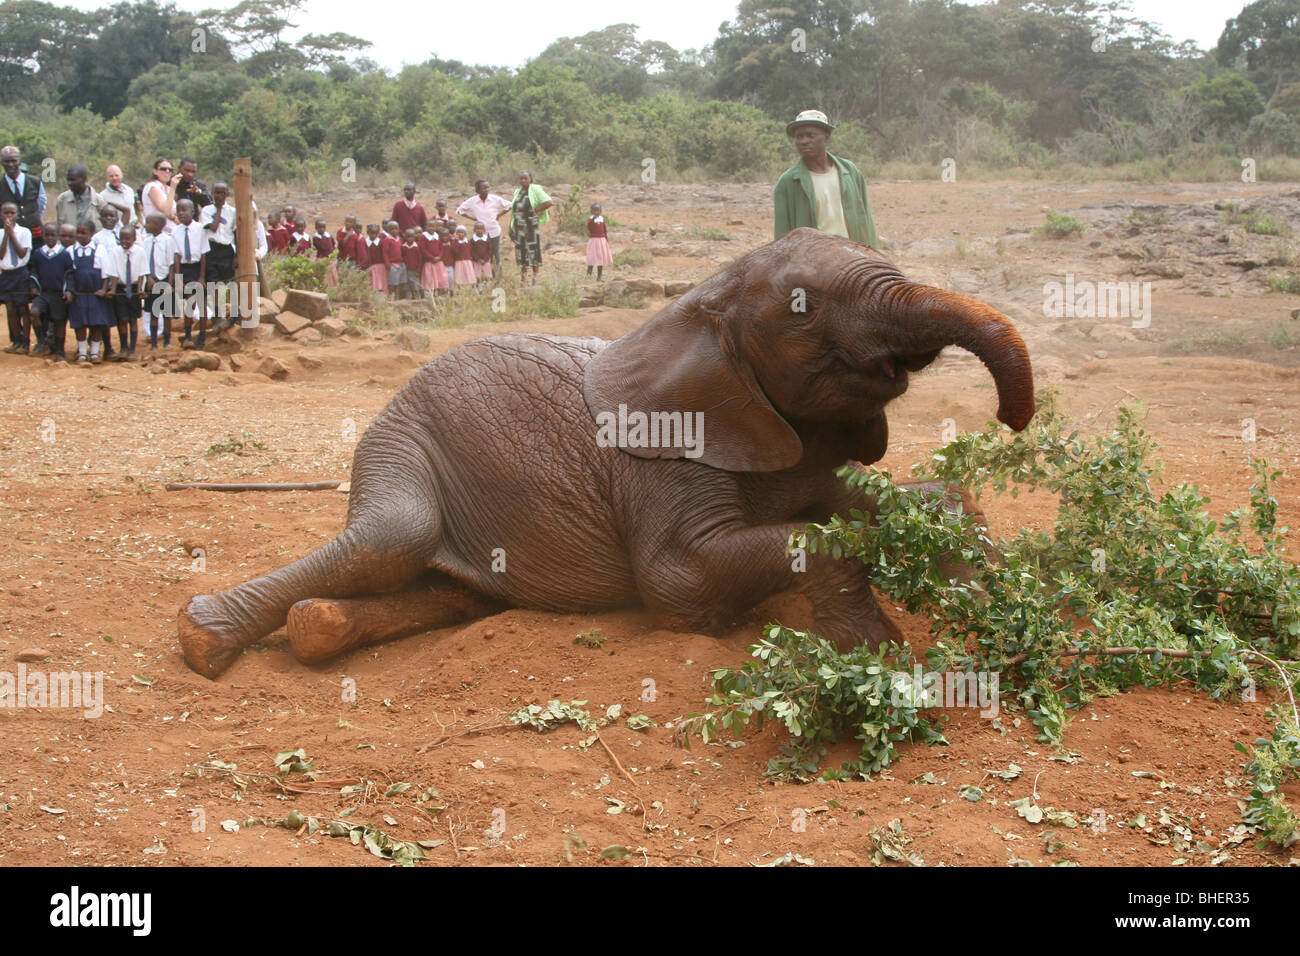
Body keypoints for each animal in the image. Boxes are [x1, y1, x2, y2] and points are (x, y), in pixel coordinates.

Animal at [180, 228, 1034, 681]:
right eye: (804, 310)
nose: (1012, 418)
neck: (699, 304)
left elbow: (867, 502)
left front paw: (979, 588)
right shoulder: (664, 456)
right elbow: (683, 581)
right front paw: (875, 654)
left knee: (450, 593)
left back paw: (317, 625)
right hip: (401, 439)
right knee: (393, 537)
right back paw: (204, 639)